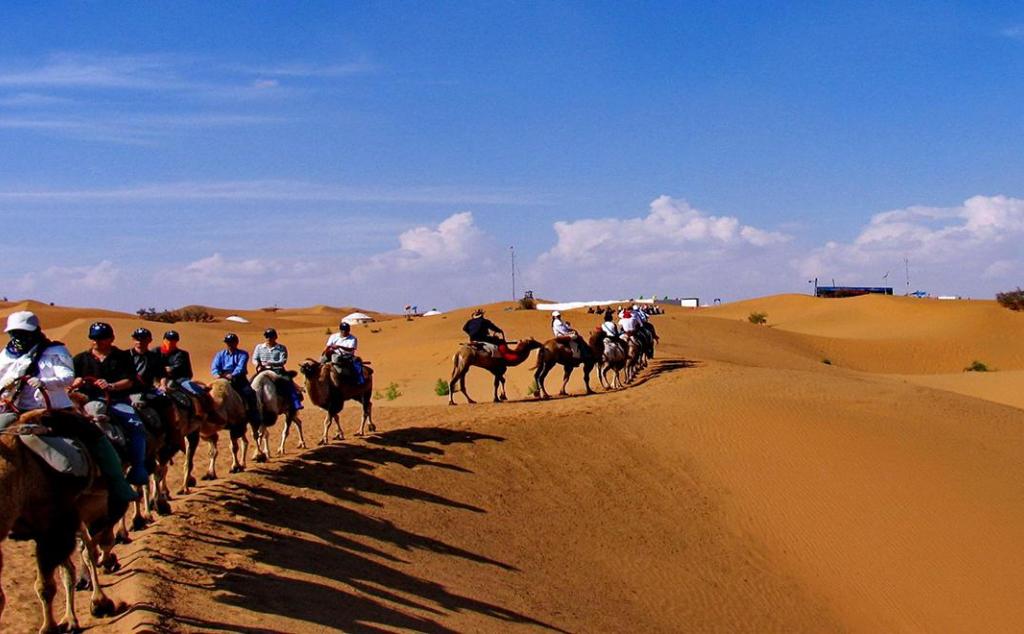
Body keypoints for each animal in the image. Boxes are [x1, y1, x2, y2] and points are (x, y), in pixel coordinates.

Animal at [1, 409, 119, 630]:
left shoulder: (54, 529)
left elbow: (46, 586)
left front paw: (48, 628)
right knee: (78, 559)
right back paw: (71, 618)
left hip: (90, 509)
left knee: (92, 548)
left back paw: (100, 601)